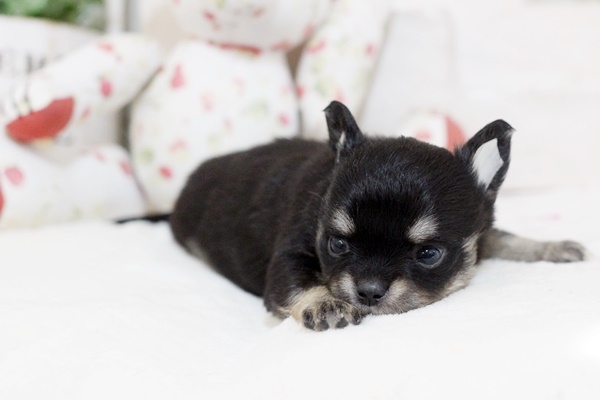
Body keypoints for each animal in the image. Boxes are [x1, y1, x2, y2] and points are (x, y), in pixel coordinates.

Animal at [169, 101, 587, 331]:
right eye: (337, 245)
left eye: (428, 254)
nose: (368, 292)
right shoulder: (289, 255)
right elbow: (299, 282)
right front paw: (326, 304)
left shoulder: (481, 233)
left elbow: (505, 238)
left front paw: (552, 247)